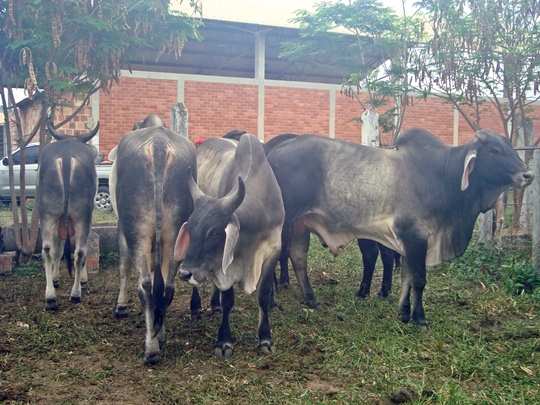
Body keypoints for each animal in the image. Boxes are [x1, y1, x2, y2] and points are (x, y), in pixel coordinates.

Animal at [38, 120, 99, 310]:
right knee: (79, 252)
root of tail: (65, 156)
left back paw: (50, 297)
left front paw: (55, 278)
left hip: (47, 214)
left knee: (48, 250)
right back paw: (75, 293)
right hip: (82, 216)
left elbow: (57, 249)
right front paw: (83, 280)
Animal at [110, 120, 196, 362]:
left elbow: (123, 267)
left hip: (135, 228)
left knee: (145, 285)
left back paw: (150, 349)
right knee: (167, 285)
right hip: (176, 233)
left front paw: (120, 307)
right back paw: (159, 336)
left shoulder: (120, 228)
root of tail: (159, 144)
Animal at [175, 133, 284, 356]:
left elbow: (263, 295)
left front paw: (265, 339)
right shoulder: (224, 266)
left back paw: (214, 307)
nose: (184, 273)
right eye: (190, 228)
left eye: (214, 232)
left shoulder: (273, 251)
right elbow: (228, 301)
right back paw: (197, 308)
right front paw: (224, 341)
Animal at [266, 129, 532, 328]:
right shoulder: (416, 237)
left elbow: (407, 276)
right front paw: (419, 318)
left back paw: (311, 299)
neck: (442, 177)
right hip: (285, 222)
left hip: (300, 224)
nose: (527, 175)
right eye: (495, 150)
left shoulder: (408, 241)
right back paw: (271, 301)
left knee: (298, 258)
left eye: (510, 147)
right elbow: (419, 279)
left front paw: (403, 311)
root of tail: (275, 152)